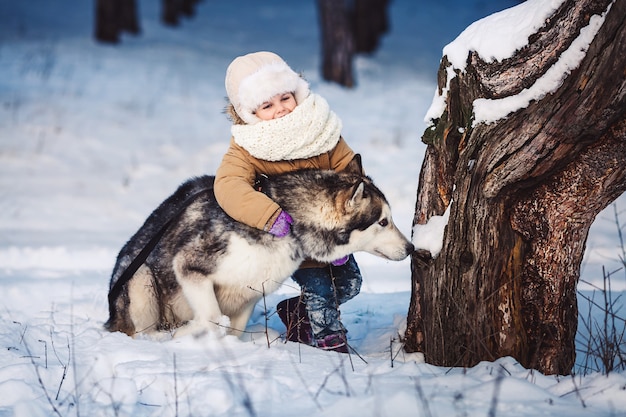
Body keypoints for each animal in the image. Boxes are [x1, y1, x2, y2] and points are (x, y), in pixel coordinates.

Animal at [105, 157, 412, 338]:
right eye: (383, 221)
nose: (411, 248)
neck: (287, 220)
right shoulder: (190, 264)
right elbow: (213, 317)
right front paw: (186, 336)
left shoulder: (250, 295)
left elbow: (235, 330)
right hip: (140, 281)